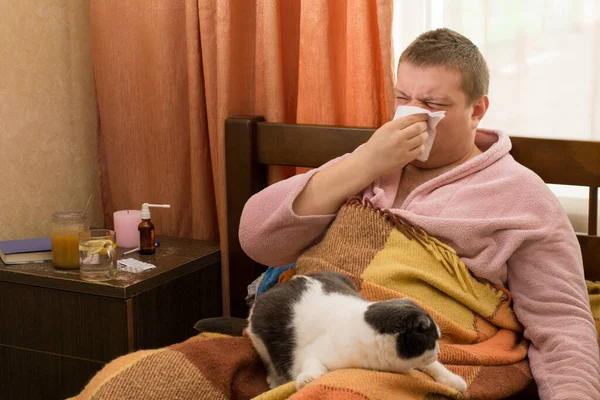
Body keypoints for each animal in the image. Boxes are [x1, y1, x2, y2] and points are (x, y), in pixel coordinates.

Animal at [246, 270, 466, 392]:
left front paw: (455, 381)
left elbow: (435, 367)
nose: (439, 351)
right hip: (259, 337)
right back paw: (275, 380)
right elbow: (311, 364)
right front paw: (307, 379)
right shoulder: (310, 353)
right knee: (270, 361)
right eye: (433, 341)